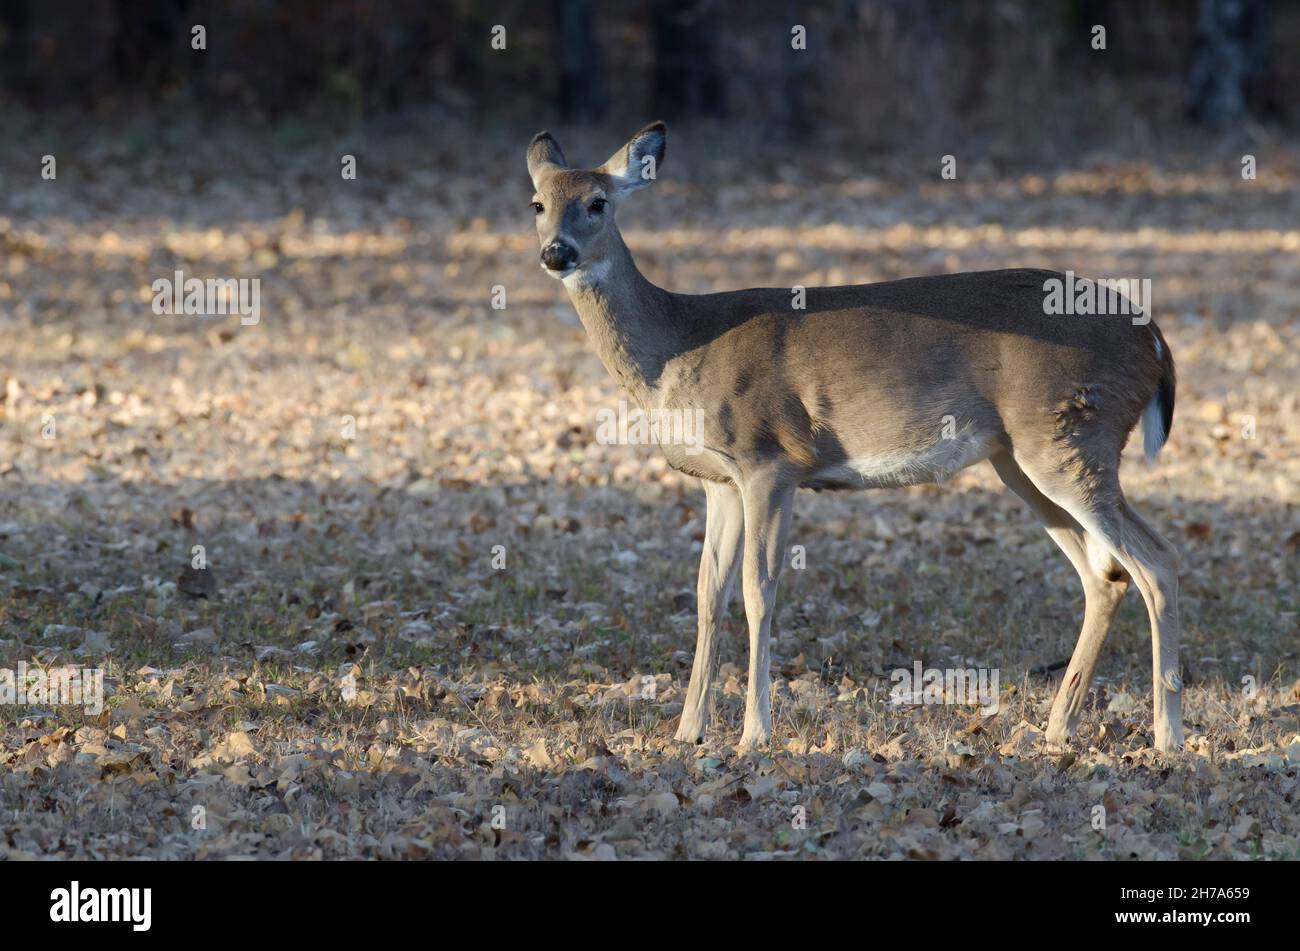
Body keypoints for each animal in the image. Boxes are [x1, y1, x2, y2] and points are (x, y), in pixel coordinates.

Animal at [527, 122, 1183, 753]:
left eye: (598, 202)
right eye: (537, 203)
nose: (556, 253)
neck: (678, 348)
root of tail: (1153, 339)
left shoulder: (770, 458)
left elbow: (758, 589)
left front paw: (754, 733)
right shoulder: (718, 479)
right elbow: (708, 593)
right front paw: (688, 731)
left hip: (1071, 436)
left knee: (1157, 563)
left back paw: (1167, 734)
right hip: (1020, 458)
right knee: (1105, 576)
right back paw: (1056, 729)